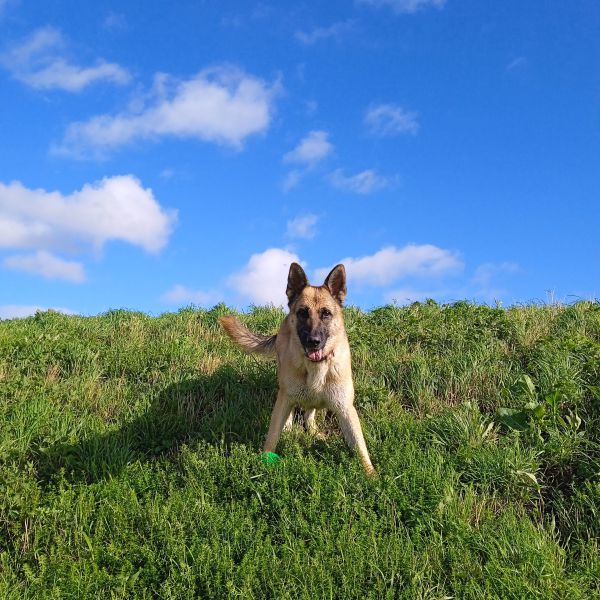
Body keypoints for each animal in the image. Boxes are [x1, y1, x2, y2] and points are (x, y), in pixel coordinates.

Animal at [219, 260, 376, 476]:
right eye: (303, 313)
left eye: (326, 314)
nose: (313, 342)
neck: (316, 368)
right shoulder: (284, 400)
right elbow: (272, 435)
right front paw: (263, 463)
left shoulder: (345, 409)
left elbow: (360, 447)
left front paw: (372, 476)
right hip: (284, 390)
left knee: (310, 413)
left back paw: (315, 431)